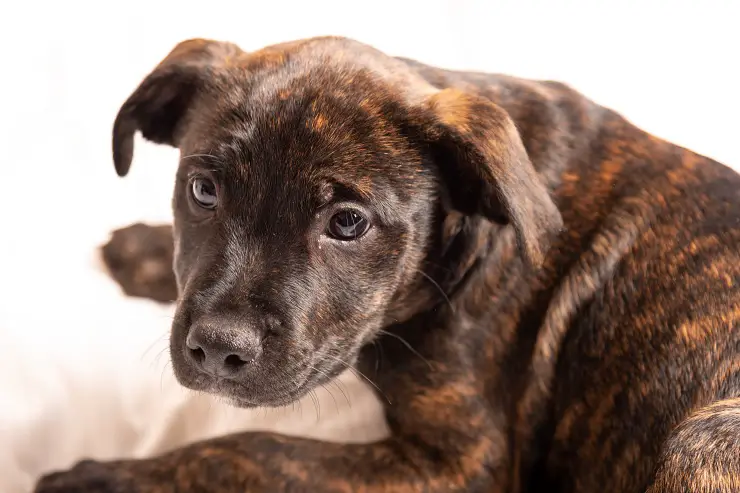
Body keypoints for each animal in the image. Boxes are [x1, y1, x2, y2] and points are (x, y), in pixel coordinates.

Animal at [36, 36, 740, 490]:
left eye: (348, 223)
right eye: (203, 191)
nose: (217, 348)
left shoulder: (457, 463)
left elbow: (247, 451)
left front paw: (103, 479)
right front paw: (141, 248)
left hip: (699, 439)